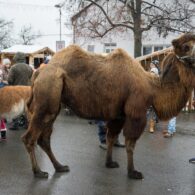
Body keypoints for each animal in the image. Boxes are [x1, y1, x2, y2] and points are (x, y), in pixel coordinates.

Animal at [22, 33, 195, 178]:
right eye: (187, 46)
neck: (152, 87)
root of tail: (38, 73)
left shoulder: (119, 115)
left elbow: (111, 137)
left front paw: (110, 163)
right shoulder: (136, 113)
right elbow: (130, 144)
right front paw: (133, 172)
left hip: (53, 105)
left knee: (44, 139)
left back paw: (60, 167)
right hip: (47, 97)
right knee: (29, 138)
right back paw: (39, 172)